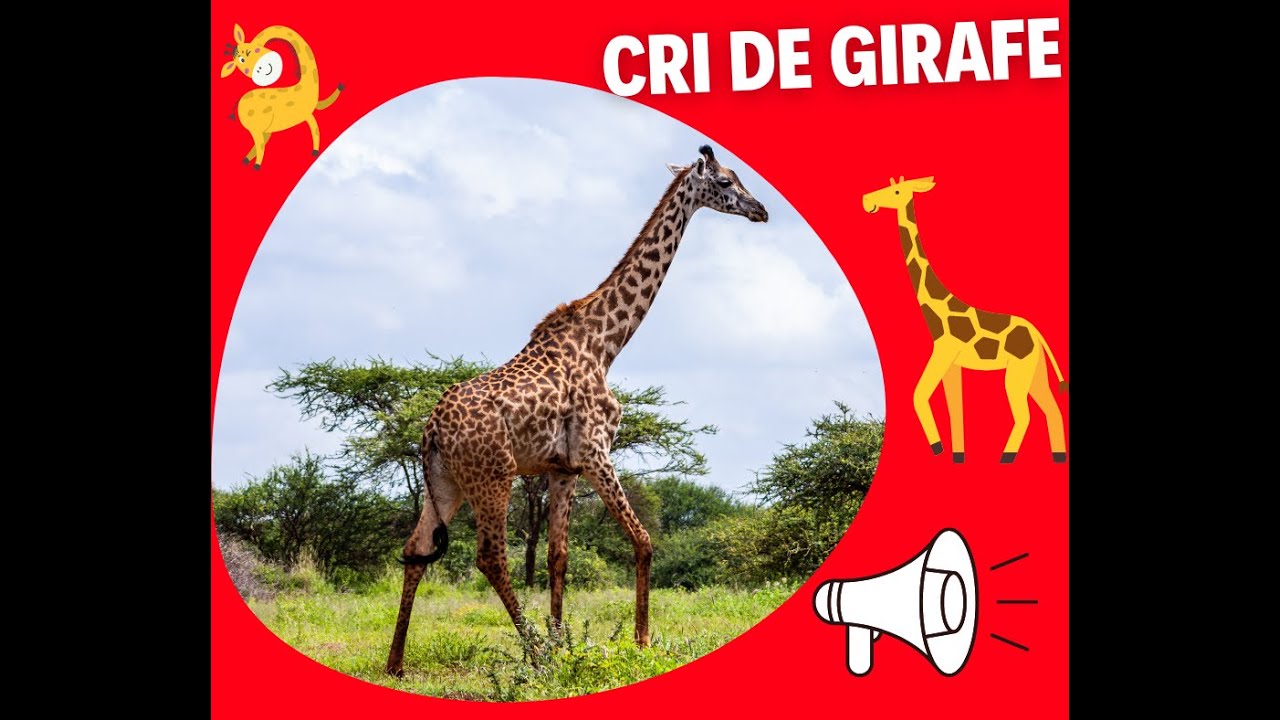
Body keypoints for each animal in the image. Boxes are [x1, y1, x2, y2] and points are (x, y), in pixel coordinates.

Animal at [218, 24, 343, 169]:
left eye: (252, 50)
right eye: (242, 60)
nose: (261, 68)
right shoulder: (307, 114)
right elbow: (316, 129)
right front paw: (315, 151)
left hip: (264, 129)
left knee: (262, 142)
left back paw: (246, 160)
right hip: (257, 128)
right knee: (260, 144)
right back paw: (256, 165)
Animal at [385, 145, 768, 677]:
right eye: (728, 182)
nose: (761, 210)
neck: (605, 343)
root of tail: (432, 431)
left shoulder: (562, 468)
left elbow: (558, 556)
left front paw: (565, 640)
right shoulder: (595, 450)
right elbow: (643, 540)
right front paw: (639, 641)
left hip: (445, 482)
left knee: (417, 550)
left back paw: (396, 663)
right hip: (493, 475)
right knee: (490, 557)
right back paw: (533, 654)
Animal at [862, 177, 1067, 464]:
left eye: (897, 191)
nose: (866, 202)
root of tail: (1038, 334)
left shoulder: (942, 354)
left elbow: (918, 395)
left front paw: (938, 446)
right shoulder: (952, 366)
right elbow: (955, 410)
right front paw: (956, 455)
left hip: (1017, 372)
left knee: (1025, 413)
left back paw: (1006, 456)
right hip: (1033, 371)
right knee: (1052, 408)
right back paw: (1057, 456)